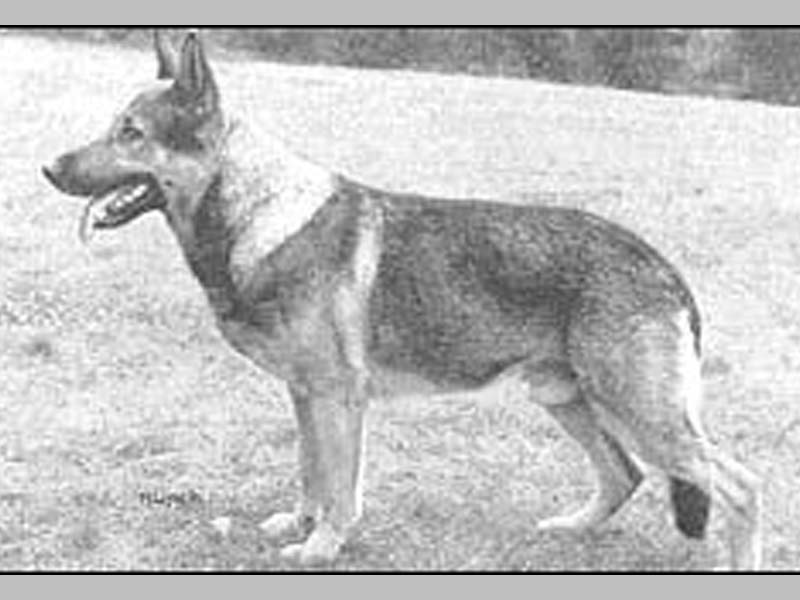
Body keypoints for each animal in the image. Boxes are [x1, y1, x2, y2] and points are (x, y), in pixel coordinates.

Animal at [42, 30, 761, 570]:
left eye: (132, 133)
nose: (48, 168)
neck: (257, 213)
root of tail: (660, 263)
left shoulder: (338, 398)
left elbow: (339, 487)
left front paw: (322, 547)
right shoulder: (305, 396)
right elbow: (310, 474)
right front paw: (298, 526)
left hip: (640, 414)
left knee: (740, 486)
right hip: (567, 398)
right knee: (624, 476)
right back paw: (568, 530)